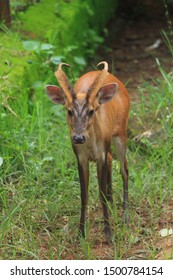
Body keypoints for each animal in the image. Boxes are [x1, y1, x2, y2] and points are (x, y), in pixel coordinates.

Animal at [45, 61, 130, 241]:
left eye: (92, 111)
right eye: (69, 111)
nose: (78, 138)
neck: (91, 145)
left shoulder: (101, 155)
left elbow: (101, 194)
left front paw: (108, 234)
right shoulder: (81, 157)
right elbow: (84, 195)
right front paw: (80, 233)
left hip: (121, 132)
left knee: (124, 169)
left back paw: (126, 216)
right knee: (113, 160)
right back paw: (113, 206)